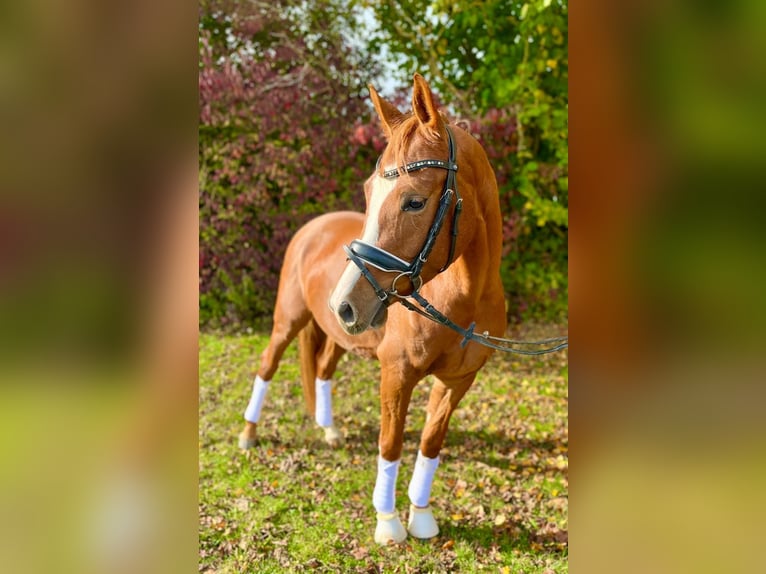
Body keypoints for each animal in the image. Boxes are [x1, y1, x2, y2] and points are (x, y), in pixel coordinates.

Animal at [237, 74, 508, 548]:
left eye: (415, 202)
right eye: (368, 191)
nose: (343, 303)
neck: (465, 299)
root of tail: (312, 227)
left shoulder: (457, 382)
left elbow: (430, 444)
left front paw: (422, 517)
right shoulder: (396, 374)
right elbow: (391, 444)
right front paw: (388, 523)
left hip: (342, 335)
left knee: (323, 369)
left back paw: (329, 430)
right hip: (288, 321)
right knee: (267, 365)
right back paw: (249, 434)